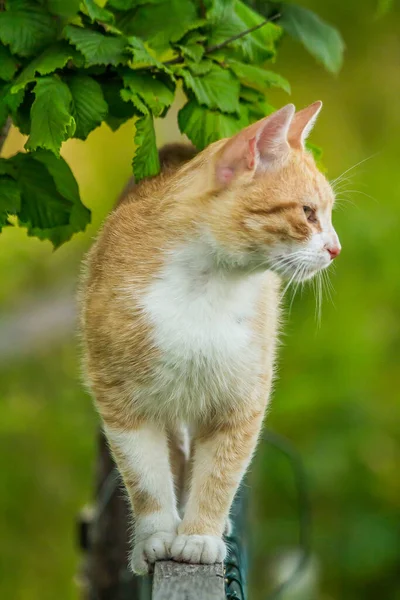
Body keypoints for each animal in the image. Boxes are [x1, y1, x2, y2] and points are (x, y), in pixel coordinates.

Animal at [79, 101, 340, 576]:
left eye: (326, 214)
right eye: (308, 213)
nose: (335, 249)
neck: (206, 285)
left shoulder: (241, 399)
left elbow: (220, 473)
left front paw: (200, 535)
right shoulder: (120, 399)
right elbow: (145, 478)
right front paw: (157, 536)